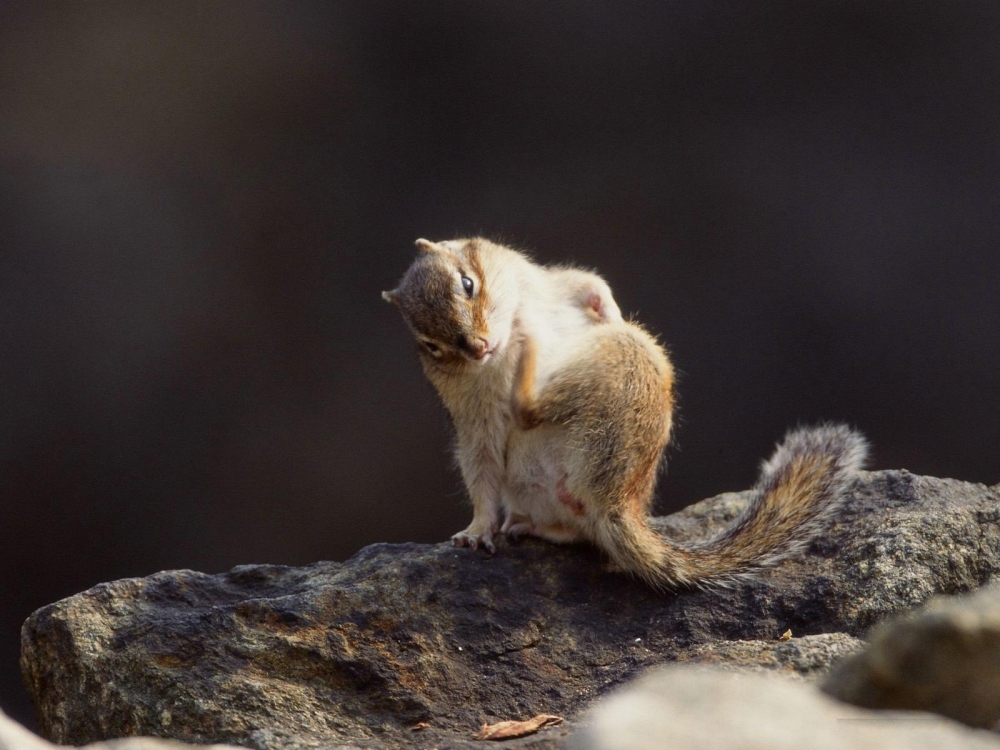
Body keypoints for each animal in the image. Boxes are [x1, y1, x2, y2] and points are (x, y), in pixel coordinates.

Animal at [382, 238, 868, 592]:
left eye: (467, 284)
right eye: (430, 347)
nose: (478, 348)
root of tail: (619, 501)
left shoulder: (550, 281)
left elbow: (590, 282)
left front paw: (608, 309)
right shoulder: (473, 415)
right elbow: (480, 466)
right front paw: (478, 530)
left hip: (627, 357)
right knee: (530, 421)